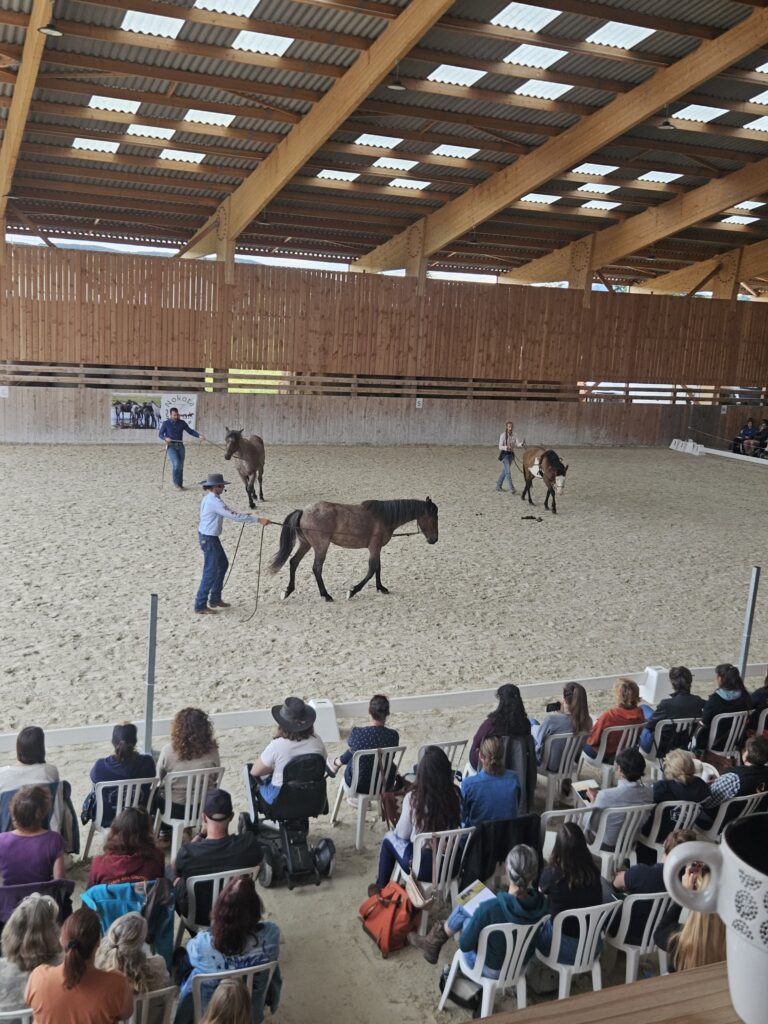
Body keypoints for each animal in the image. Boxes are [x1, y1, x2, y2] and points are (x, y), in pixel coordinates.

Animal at [269, 497, 438, 602]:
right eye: (433, 518)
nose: (434, 540)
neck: (383, 517)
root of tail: (303, 511)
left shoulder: (377, 548)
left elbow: (378, 568)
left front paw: (380, 588)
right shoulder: (374, 547)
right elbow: (372, 569)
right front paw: (353, 591)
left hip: (305, 544)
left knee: (293, 562)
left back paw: (287, 591)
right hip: (321, 546)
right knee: (316, 568)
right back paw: (326, 595)